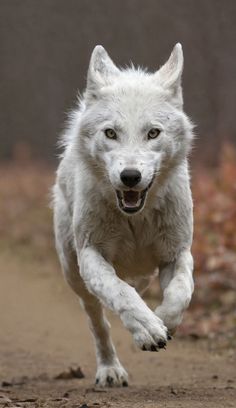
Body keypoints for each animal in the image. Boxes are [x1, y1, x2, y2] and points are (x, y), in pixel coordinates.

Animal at [53, 43, 194, 388]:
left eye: (153, 133)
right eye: (111, 133)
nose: (130, 176)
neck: (135, 219)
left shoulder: (177, 253)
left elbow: (180, 292)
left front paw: (163, 323)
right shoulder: (91, 256)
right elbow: (121, 293)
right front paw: (148, 331)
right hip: (74, 273)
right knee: (98, 321)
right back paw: (110, 370)